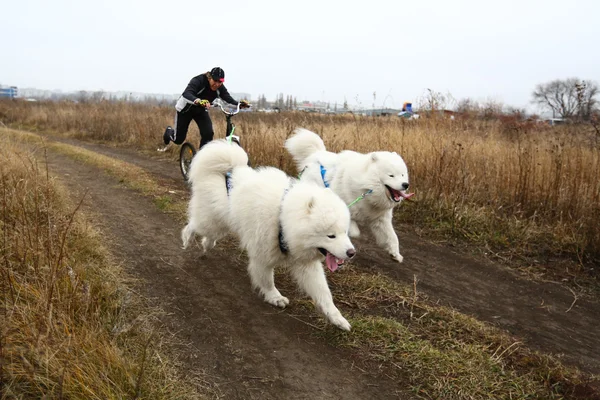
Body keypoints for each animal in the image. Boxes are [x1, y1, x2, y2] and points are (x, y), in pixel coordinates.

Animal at [180, 139, 354, 330]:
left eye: (345, 232)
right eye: (331, 236)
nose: (351, 253)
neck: (283, 218)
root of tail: (226, 171)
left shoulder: (306, 265)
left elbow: (324, 293)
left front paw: (338, 318)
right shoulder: (262, 255)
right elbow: (267, 280)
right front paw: (275, 297)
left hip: (221, 224)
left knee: (209, 235)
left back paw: (207, 245)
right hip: (211, 221)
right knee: (194, 225)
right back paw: (187, 238)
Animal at [286, 130, 412, 264]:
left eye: (402, 174)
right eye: (391, 175)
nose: (405, 184)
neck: (366, 190)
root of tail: (316, 154)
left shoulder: (381, 219)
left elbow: (393, 237)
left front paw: (395, 254)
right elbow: (355, 231)